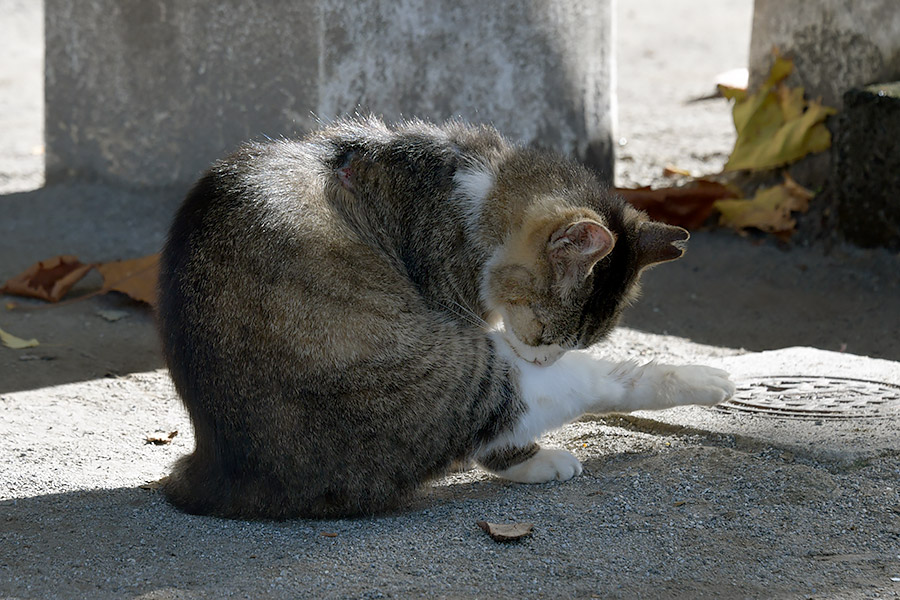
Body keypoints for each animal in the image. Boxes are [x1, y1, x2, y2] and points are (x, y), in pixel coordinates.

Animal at [156, 117, 732, 520]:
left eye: (577, 338)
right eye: (547, 331)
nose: (542, 357)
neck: (468, 191)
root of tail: (223, 475)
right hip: (444, 373)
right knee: (554, 394)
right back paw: (711, 381)